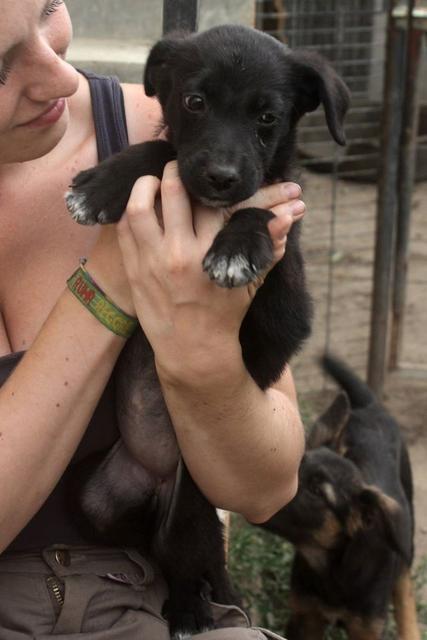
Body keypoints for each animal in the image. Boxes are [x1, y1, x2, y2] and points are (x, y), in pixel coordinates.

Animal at [65, 25, 350, 640]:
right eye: (194, 101)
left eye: (267, 117)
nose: (220, 178)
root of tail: (157, 481)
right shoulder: (181, 154)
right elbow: (162, 153)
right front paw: (102, 184)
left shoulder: (287, 302)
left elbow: (261, 210)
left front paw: (236, 246)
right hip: (100, 500)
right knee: (152, 548)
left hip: (190, 513)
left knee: (187, 562)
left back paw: (190, 613)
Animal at [262, 356, 420, 640]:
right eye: (295, 470)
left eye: (317, 492)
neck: (332, 569)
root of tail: (371, 407)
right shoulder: (305, 616)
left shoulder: (366, 629)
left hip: (405, 541)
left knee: (405, 592)